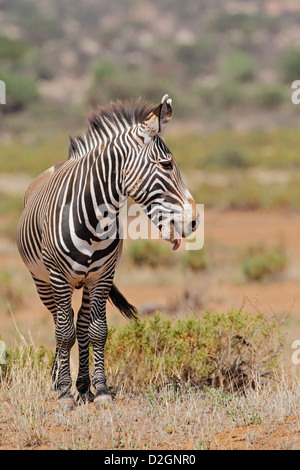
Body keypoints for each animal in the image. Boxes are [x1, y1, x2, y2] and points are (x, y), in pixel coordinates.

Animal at [17, 94, 199, 408]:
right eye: (167, 165)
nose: (193, 221)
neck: (93, 218)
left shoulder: (103, 276)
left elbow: (97, 331)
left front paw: (99, 389)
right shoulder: (58, 277)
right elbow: (63, 332)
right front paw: (64, 393)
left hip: (87, 282)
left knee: (80, 323)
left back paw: (83, 385)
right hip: (42, 280)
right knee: (59, 321)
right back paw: (59, 382)